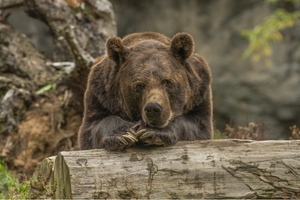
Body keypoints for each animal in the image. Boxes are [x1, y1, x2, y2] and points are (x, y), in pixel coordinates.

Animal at [78, 31, 212, 150]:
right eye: (139, 85)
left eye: (167, 81)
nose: (153, 108)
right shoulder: (101, 95)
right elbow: (94, 126)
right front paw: (123, 135)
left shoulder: (199, 93)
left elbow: (197, 126)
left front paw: (152, 132)